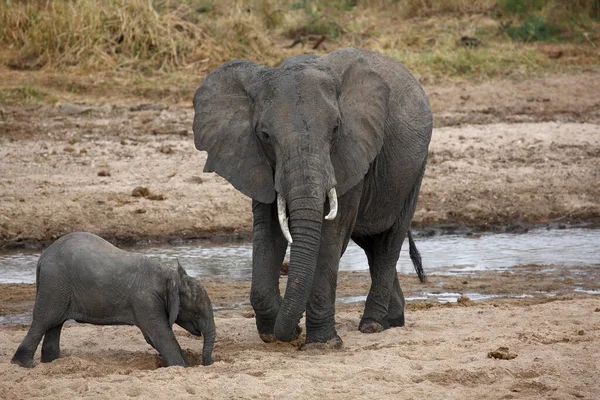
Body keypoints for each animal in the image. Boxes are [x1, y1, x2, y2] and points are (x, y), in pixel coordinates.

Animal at [11, 231, 216, 368]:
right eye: (195, 312)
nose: (205, 364)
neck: (169, 276)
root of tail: (42, 258)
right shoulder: (146, 299)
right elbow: (160, 335)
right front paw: (183, 367)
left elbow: (153, 336)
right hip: (55, 283)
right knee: (44, 320)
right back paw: (24, 364)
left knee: (55, 323)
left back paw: (52, 363)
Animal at [192, 47, 432, 346]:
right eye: (265, 135)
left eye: (336, 129)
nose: (293, 331)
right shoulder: (256, 159)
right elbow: (268, 230)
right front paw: (274, 333)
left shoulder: (350, 150)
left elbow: (330, 234)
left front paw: (322, 343)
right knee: (371, 244)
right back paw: (391, 321)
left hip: (415, 169)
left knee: (388, 242)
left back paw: (372, 324)